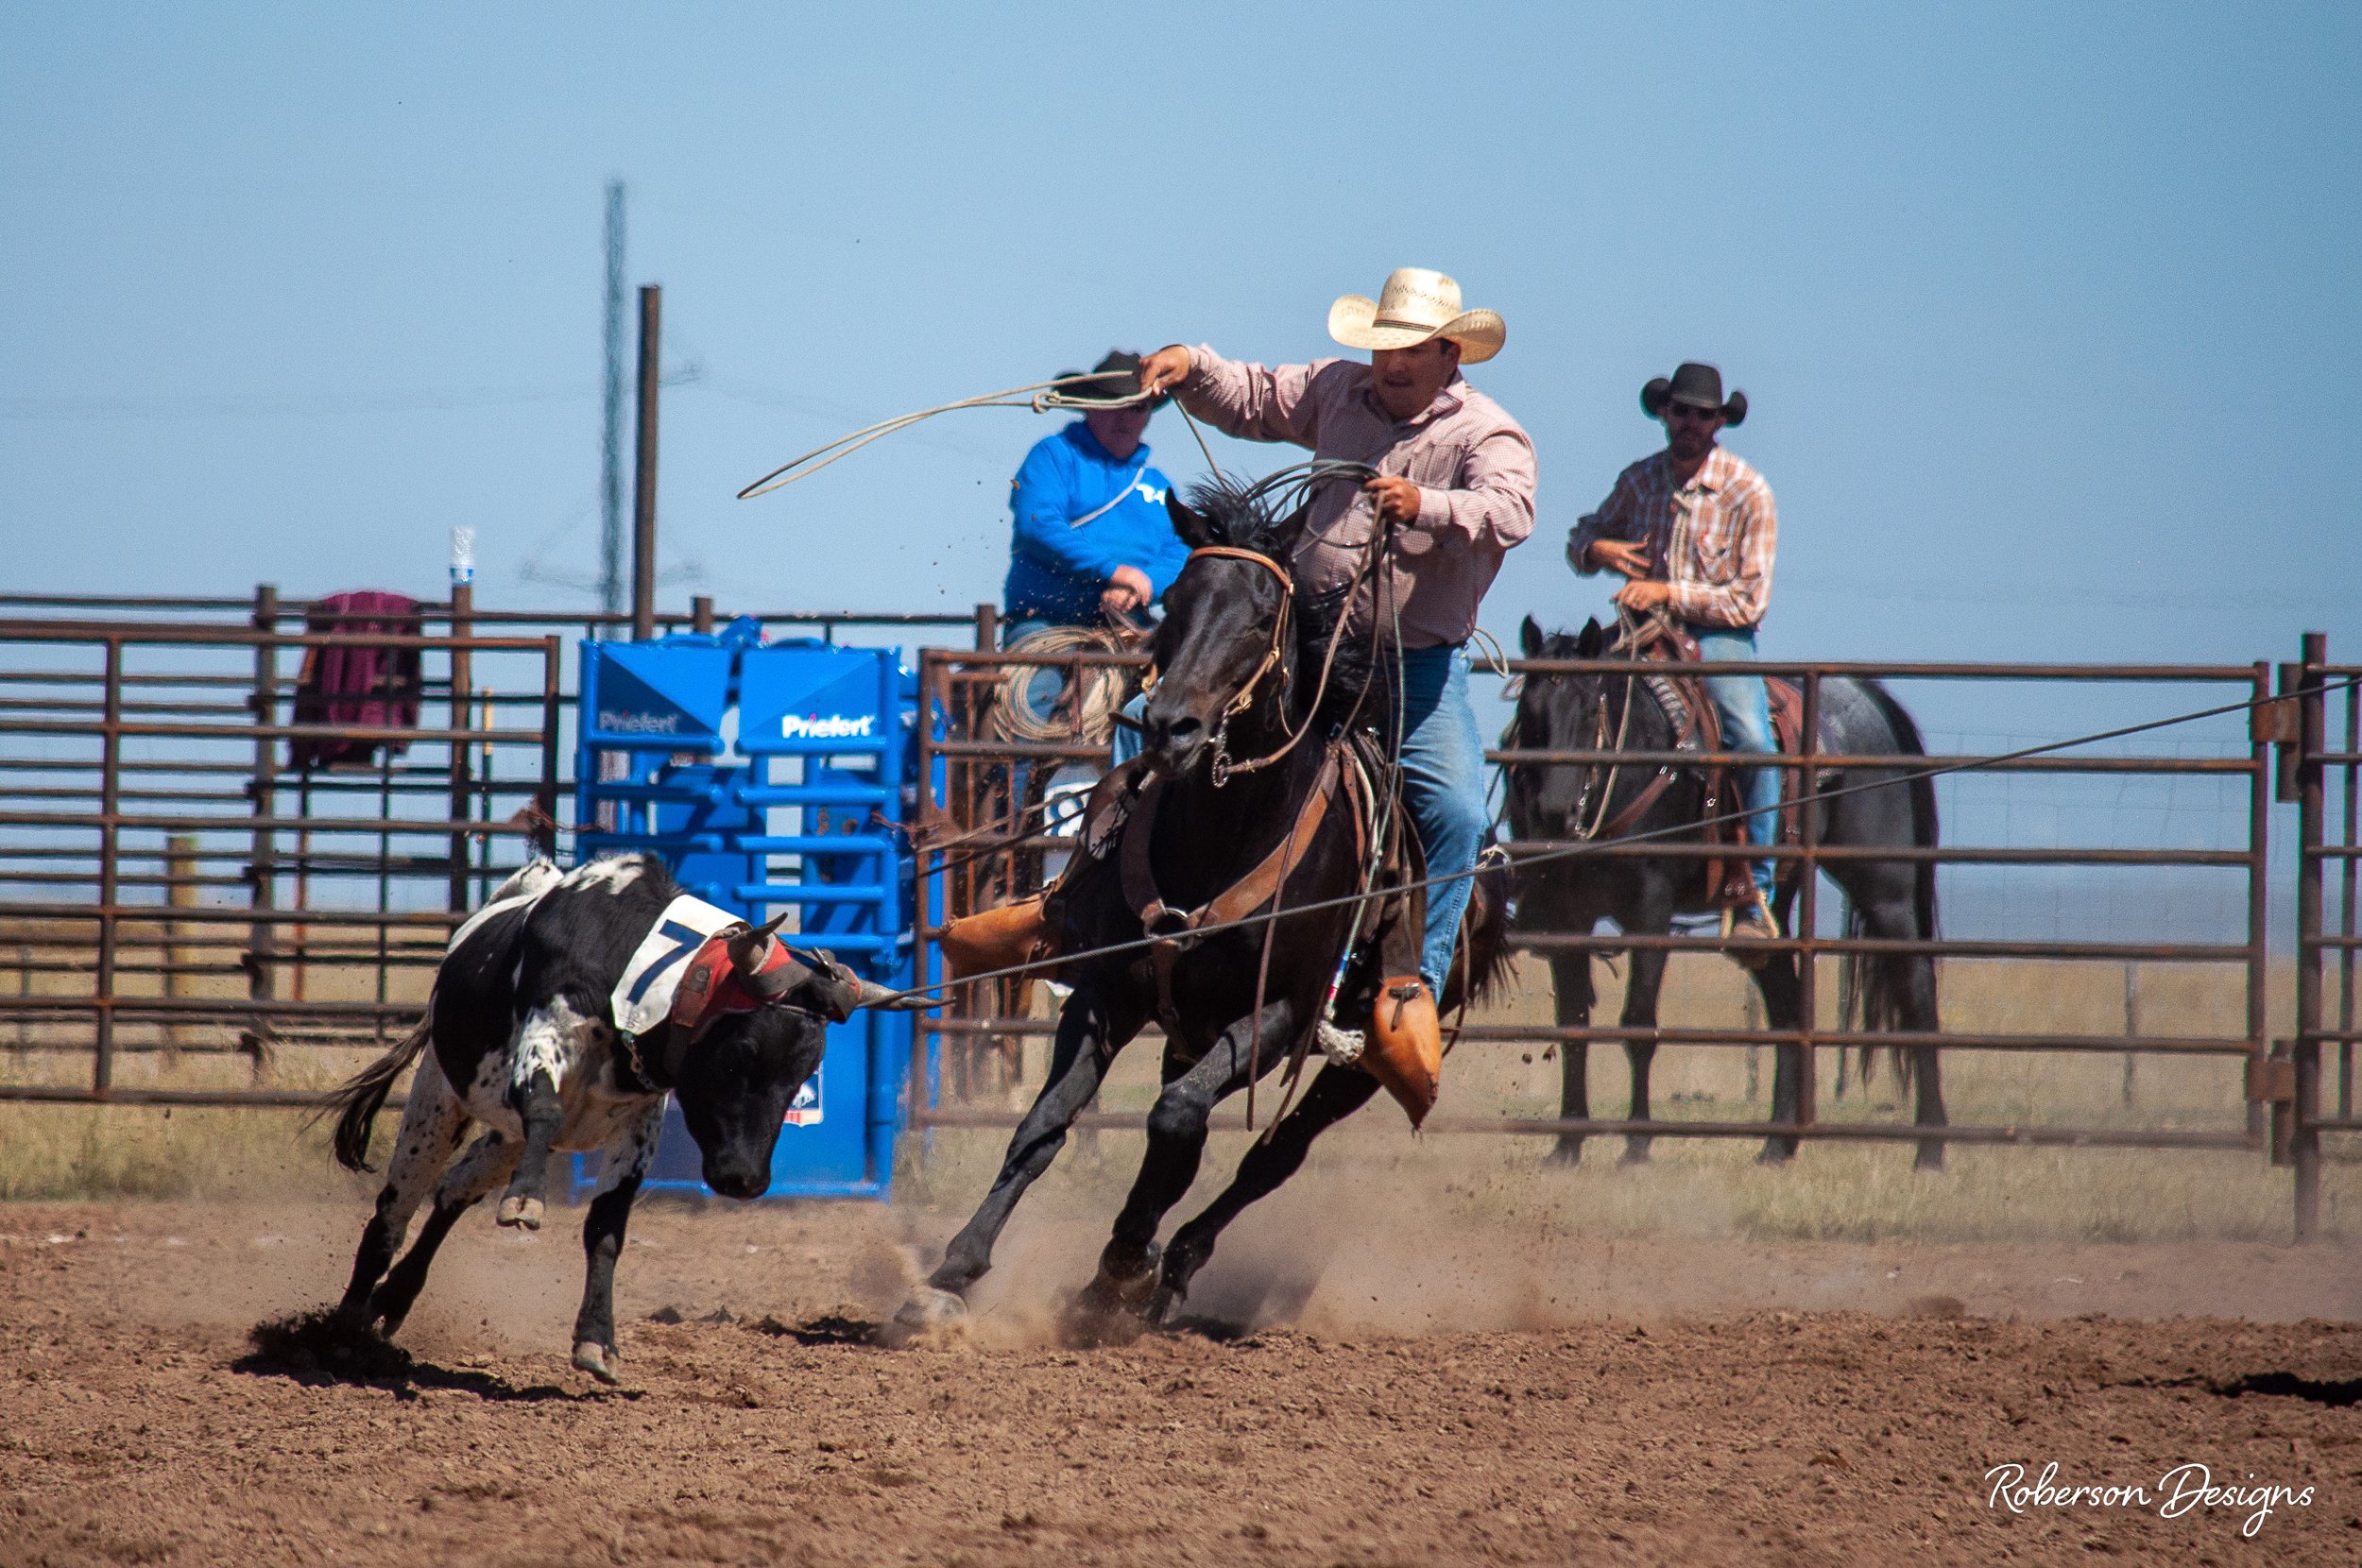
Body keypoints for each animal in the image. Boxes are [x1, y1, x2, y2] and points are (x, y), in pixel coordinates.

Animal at [328, 850, 916, 1379]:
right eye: (738, 1055)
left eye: (803, 1076)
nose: (746, 1181)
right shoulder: (541, 1045)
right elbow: (544, 1107)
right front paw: (526, 1201)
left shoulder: (639, 1123)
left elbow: (607, 1229)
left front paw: (596, 1341)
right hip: (437, 1102)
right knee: (392, 1214)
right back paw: (344, 1328)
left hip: (505, 1139)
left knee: (452, 1193)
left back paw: (394, 1298)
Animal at [1502, 619, 1946, 1171]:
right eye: (1528, 711)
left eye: (1590, 708)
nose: (1556, 812)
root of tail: (1870, 700)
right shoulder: (1568, 920)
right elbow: (1573, 1028)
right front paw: (1567, 1145)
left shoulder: (1651, 912)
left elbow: (1638, 1025)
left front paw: (1637, 1146)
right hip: (1772, 907)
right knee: (1787, 1009)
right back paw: (1777, 1146)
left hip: (1885, 889)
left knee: (1917, 991)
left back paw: (1930, 1148)